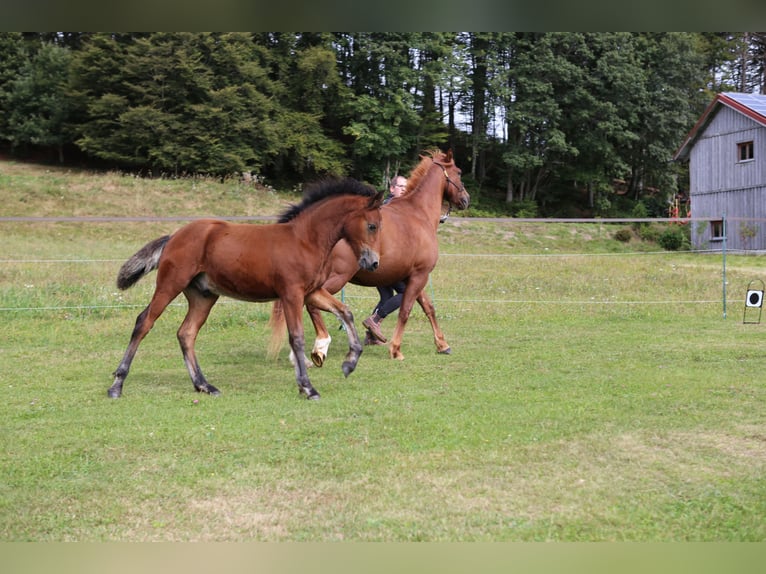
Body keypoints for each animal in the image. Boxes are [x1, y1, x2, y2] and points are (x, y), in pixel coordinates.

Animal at [107, 179, 384, 400]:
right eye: (372, 225)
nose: (373, 263)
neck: (305, 240)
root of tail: (174, 236)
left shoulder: (312, 292)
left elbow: (345, 312)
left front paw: (349, 363)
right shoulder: (291, 294)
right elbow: (296, 337)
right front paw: (307, 387)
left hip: (203, 295)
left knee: (186, 333)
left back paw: (204, 385)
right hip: (170, 284)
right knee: (144, 322)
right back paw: (117, 385)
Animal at [272, 148, 472, 364]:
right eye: (459, 172)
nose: (466, 199)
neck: (419, 214)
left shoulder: (412, 277)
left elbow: (428, 307)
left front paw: (442, 345)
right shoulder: (420, 275)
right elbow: (405, 311)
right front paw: (396, 349)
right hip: (335, 279)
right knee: (311, 304)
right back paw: (319, 347)